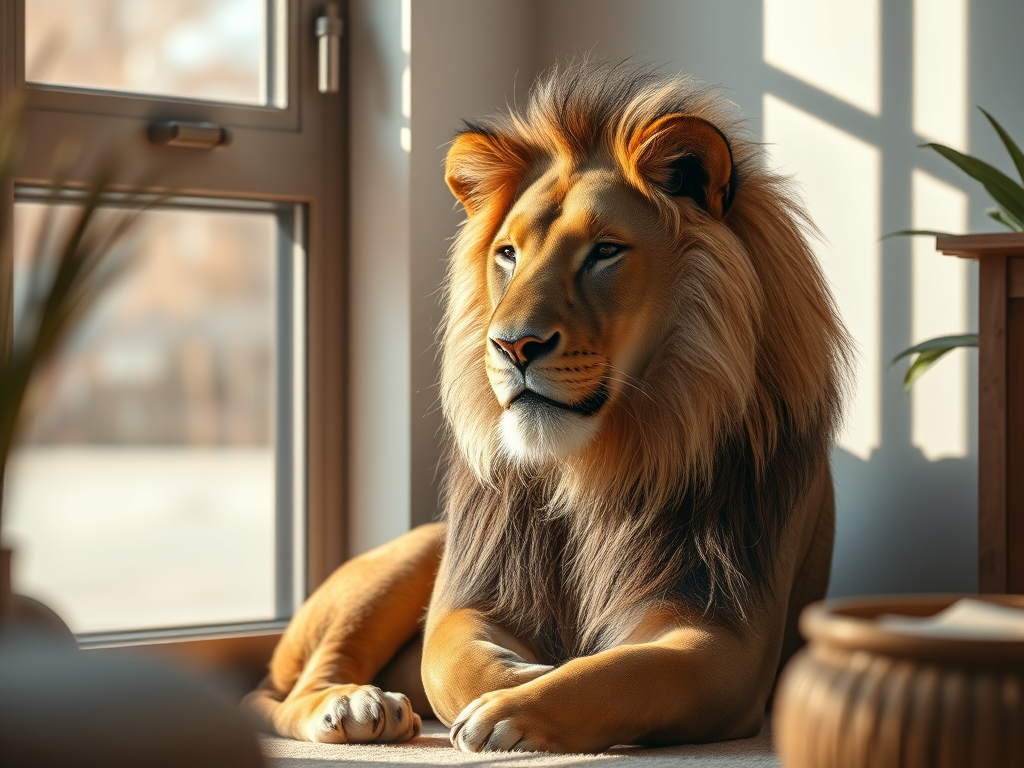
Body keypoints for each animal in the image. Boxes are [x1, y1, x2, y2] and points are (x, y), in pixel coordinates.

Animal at [242, 61, 850, 753]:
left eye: (605, 251)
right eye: (508, 253)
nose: (512, 345)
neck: (594, 468)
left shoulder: (729, 642)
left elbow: (627, 672)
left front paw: (512, 707)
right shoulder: (467, 596)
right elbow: (446, 659)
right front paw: (509, 681)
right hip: (411, 554)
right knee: (290, 688)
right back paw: (354, 705)